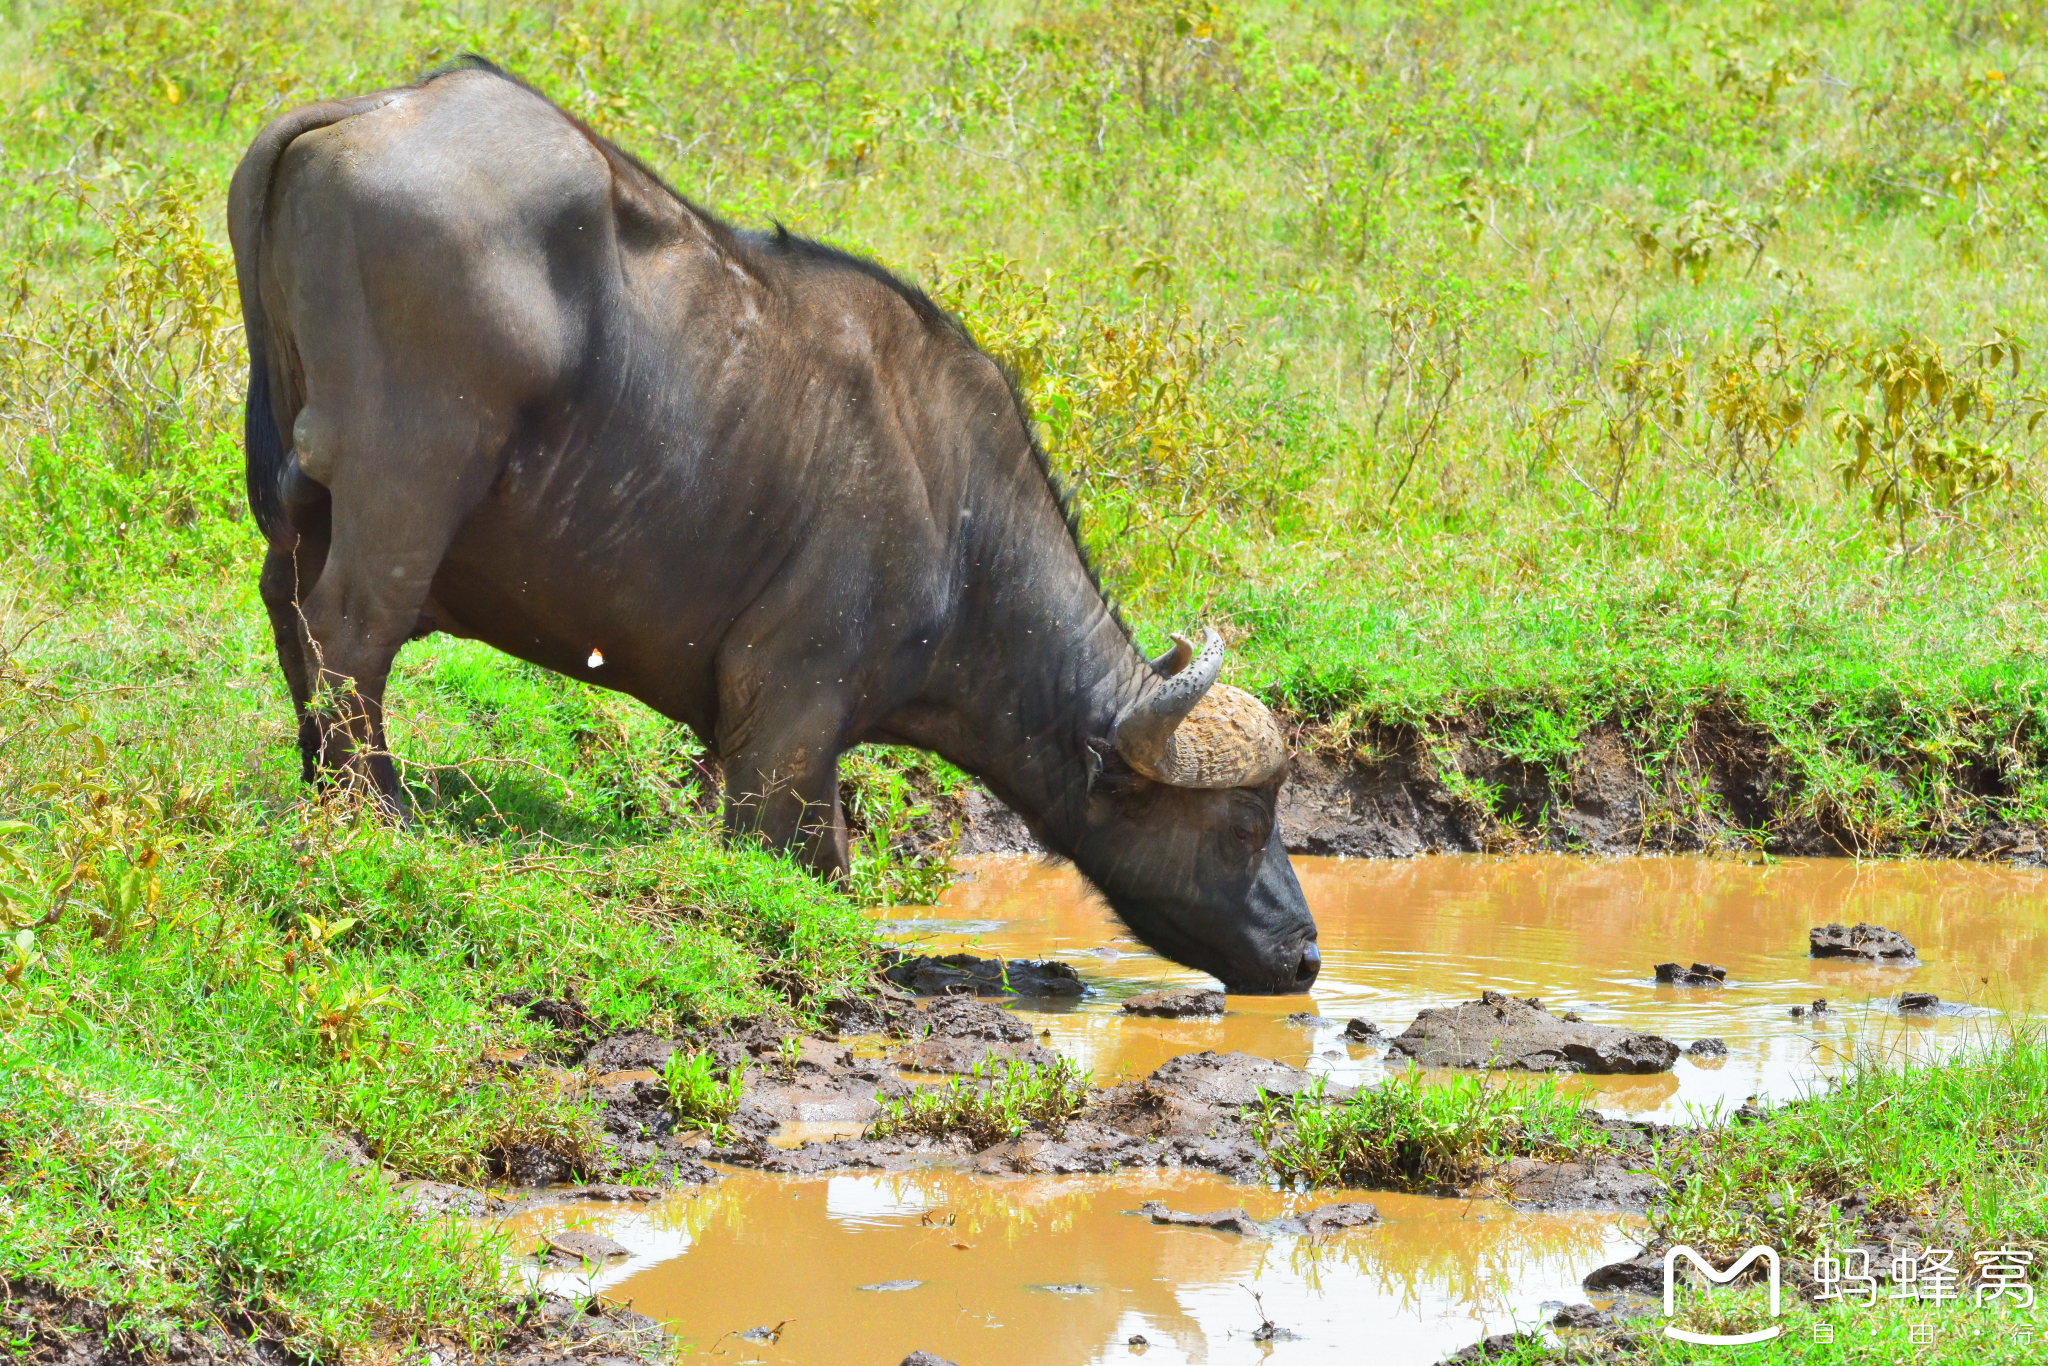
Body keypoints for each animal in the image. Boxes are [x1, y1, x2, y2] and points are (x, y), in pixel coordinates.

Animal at [232, 61, 1318, 995]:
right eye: (1240, 823)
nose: (1304, 952)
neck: (958, 525)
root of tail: (374, 109)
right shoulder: (785, 714)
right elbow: (800, 860)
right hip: (406, 485)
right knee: (351, 632)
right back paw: (377, 810)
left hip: (288, 490)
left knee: (290, 612)